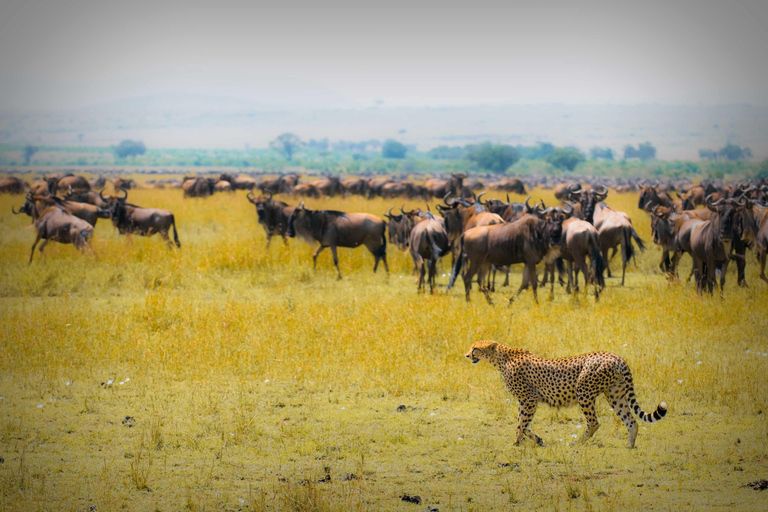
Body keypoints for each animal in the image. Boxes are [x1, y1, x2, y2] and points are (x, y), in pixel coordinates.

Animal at [464, 340, 664, 448]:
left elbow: (521, 423)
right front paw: (537, 440)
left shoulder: (530, 398)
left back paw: (577, 443)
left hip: (584, 392)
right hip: (616, 395)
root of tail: (616, 357)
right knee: (631, 421)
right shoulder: (525, 401)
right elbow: (523, 423)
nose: (466, 355)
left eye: (475, 348)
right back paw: (629, 445)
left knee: (594, 422)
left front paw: (516, 443)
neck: (501, 358)